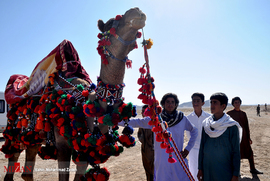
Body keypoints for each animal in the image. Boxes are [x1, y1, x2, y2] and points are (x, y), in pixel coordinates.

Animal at [1, 7, 147, 181]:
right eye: (112, 23)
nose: (136, 11)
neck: (87, 104)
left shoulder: (86, 150)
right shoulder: (62, 146)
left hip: (33, 137)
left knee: (27, 171)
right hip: (15, 132)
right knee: (12, 161)